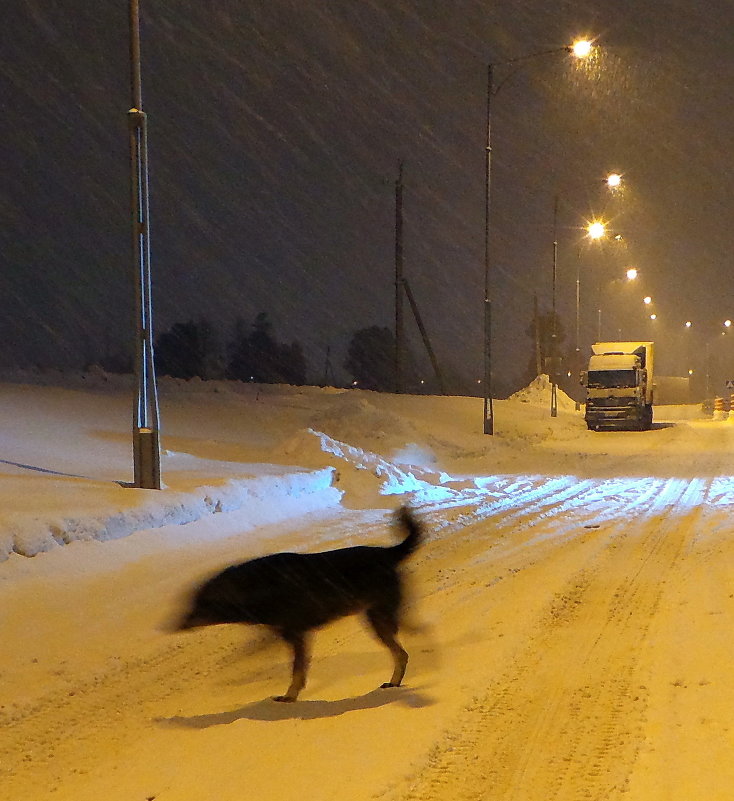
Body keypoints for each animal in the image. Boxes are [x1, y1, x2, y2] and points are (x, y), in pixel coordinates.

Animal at [173, 506, 422, 700]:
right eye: (189, 603)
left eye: (199, 604)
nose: (173, 625)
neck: (257, 587)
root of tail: (387, 553)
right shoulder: (289, 634)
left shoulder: (295, 635)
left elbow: (295, 671)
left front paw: (288, 696)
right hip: (377, 619)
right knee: (407, 644)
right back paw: (396, 680)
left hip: (379, 620)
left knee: (403, 651)